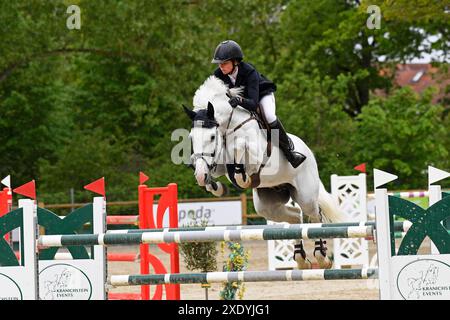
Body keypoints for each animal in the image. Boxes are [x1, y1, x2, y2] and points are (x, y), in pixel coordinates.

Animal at [183, 76, 352, 268]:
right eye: (191, 138)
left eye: (212, 137)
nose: (200, 175)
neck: (229, 127)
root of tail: (309, 152)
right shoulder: (219, 164)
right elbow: (214, 169)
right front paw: (213, 185)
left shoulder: (257, 155)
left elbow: (241, 155)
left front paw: (243, 177)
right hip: (268, 207)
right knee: (295, 217)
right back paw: (301, 259)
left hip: (306, 196)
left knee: (315, 216)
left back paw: (322, 257)